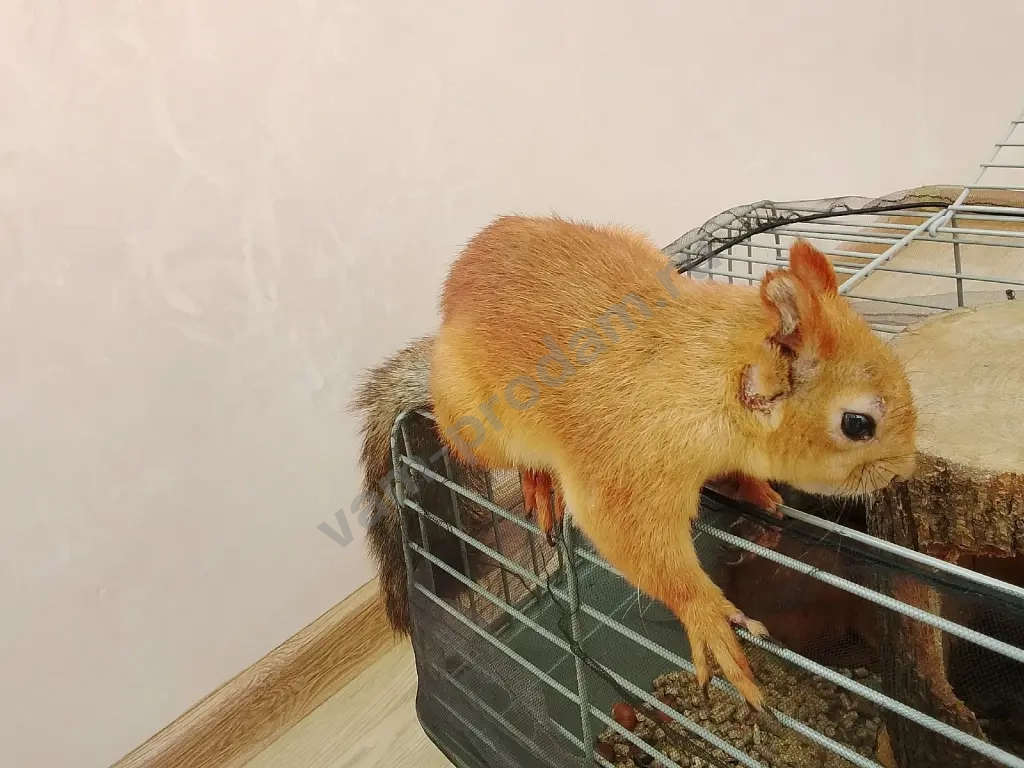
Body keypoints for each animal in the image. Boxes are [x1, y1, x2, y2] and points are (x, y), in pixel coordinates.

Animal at [354, 215, 917, 708]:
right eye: (857, 424)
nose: (904, 470)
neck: (704, 378)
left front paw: (756, 489)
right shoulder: (622, 467)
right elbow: (638, 542)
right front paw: (706, 616)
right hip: (476, 427)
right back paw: (538, 482)